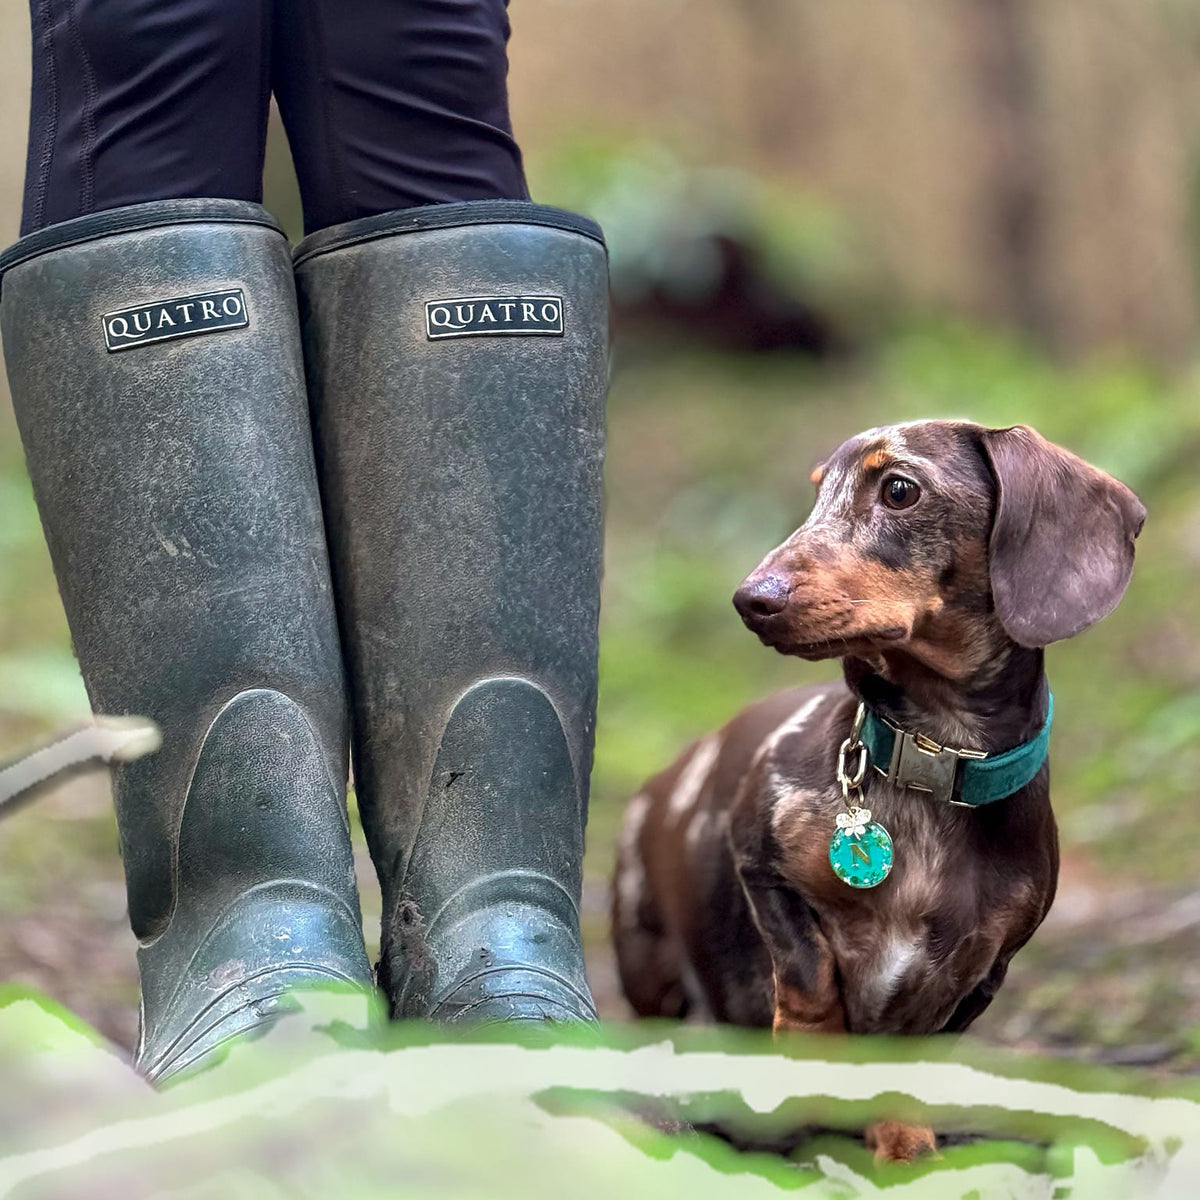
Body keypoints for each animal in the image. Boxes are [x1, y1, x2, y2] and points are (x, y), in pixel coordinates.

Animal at [611, 421, 1145, 1162]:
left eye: (898, 490)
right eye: (817, 491)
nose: (751, 600)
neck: (931, 761)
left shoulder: (986, 968)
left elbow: (909, 1063)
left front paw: (905, 1149)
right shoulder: (759, 859)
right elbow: (807, 975)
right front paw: (810, 1064)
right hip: (647, 964)